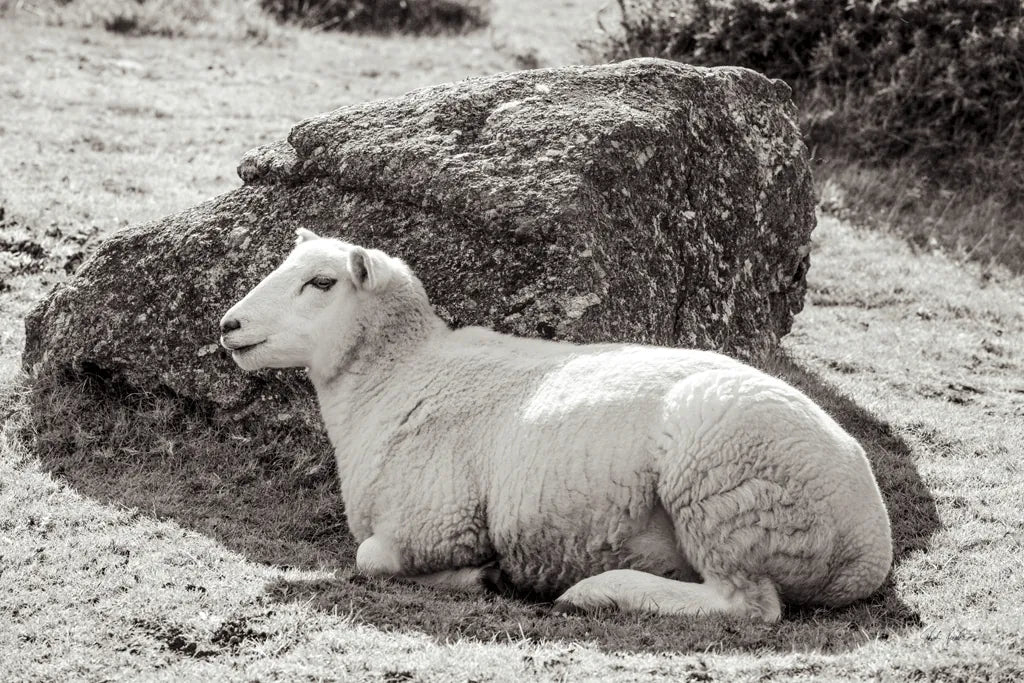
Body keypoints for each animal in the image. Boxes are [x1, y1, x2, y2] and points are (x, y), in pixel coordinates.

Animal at [219, 228, 893, 621]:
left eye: (321, 282)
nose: (228, 325)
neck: (401, 375)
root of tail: (870, 544)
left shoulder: (436, 521)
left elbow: (370, 557)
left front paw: (480, 575)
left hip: (724, 487)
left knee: (747, 605)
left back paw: (602, 590)